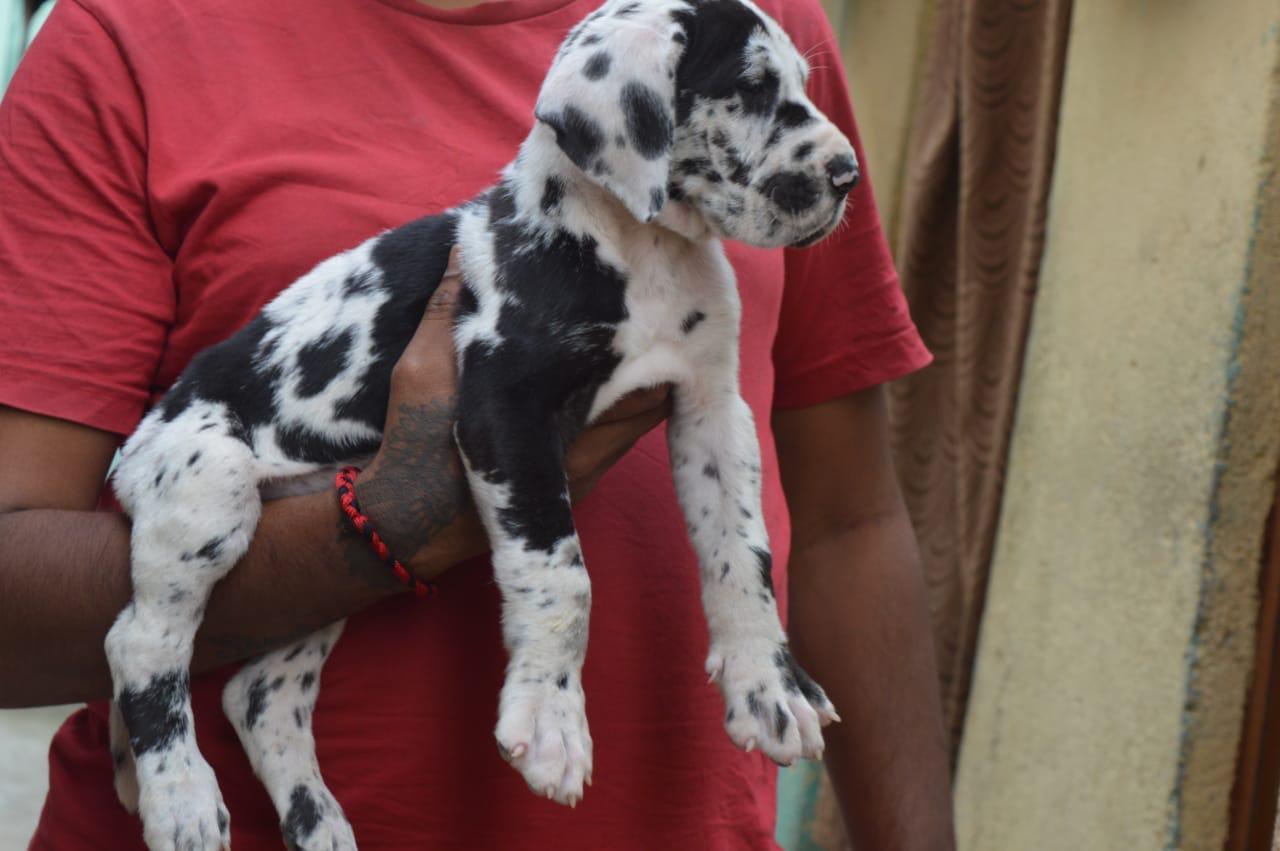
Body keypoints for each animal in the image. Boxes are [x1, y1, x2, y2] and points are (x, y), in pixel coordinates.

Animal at [102, 0, 860, 844]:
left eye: (800, 82)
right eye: (751, 87)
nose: (847, 176)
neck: (638, 247)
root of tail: (142, 437)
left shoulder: (713, 410)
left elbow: (744, 554)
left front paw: (768, 684)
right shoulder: (505, 407)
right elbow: (562, 574)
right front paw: (552, 719)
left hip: (316, 569)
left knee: (260, 694)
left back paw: (314, 817)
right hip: (208, 487)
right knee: (141, 643)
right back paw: (182, 796)